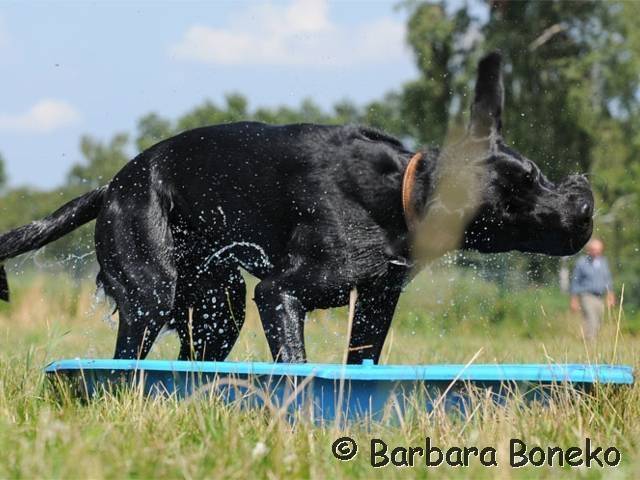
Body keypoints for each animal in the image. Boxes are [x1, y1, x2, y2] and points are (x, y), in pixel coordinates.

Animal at [0, 52, 592, 362]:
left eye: (536, 173)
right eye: (522, 193)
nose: (585, 203)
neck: (397, 192)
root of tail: (111, 189)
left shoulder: (376, 301)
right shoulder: (279, 293)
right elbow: (295, 363)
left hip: (220, 305)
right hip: (152, 296)